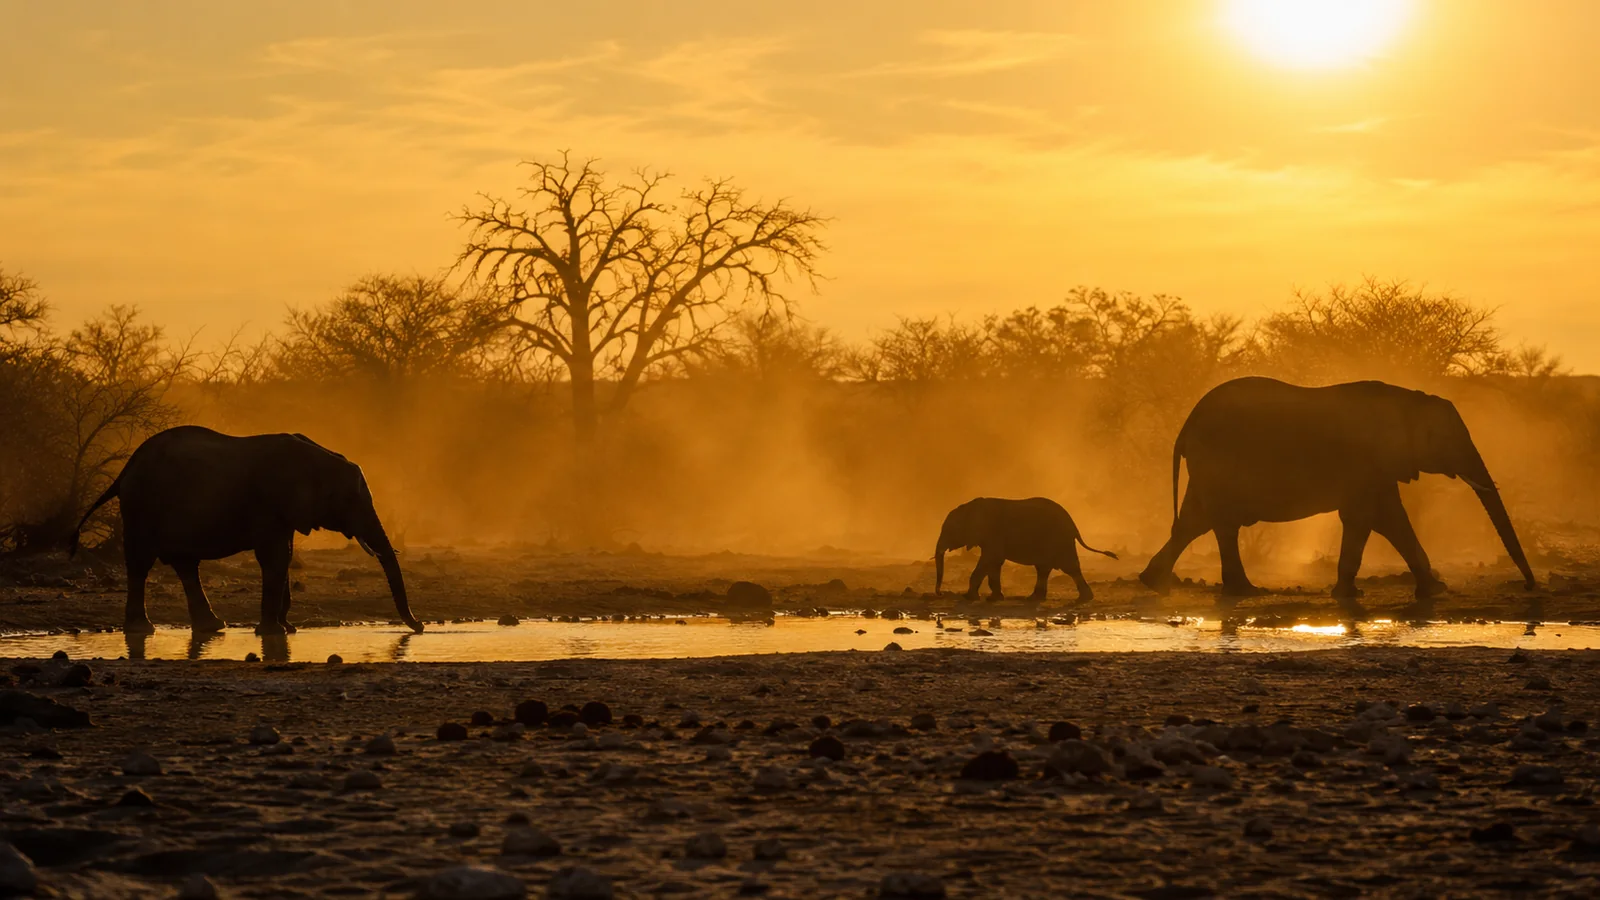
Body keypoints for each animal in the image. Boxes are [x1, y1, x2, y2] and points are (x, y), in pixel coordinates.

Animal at [70, 426, 422, 635]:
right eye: (350, 499)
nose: (418, 627)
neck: (318, 456)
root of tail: (124, 470)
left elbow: (284, 556)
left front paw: (286, 629)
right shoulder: (268, 504)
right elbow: (274, 557)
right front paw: (275, 632)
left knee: (186, 564)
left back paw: (213, 627)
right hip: (141, 506)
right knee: (141, 563)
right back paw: (143, 630)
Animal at [934, 497, 1118, 603]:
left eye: (949, 530)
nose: (941, 594)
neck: (969, 508)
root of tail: (1074, 525)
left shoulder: (993, 533)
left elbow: (991, 559)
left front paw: (969, 597)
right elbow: (994, 562)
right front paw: (994, 598)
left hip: (1059, 539)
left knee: (1069, 567)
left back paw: (1083, 599)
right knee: (1044, 568)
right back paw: (1035, 598)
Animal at [1138, 377, 1537, 601]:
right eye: (1448, 440)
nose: (1530, 587)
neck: (1409, 400)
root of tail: (1187, 424)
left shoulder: (1379, 468)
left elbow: (1389, 518)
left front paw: (1433, 591)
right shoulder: (1367, 459)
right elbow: (1366, 518)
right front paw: (1350, 594)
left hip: (1208, 466)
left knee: (1194, 522)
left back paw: (1154, 583)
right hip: (1218, 459)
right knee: (1218, 523)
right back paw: (1242, 591)